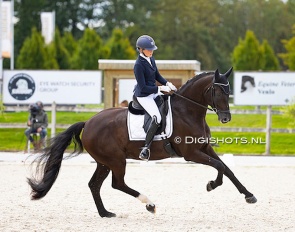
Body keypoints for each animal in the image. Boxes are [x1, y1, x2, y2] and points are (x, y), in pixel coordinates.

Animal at [28, 67, 260, 218]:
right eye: (218, 91)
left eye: (229, 91)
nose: (226, 118)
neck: (188, 111)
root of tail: (89, 122)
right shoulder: (191, 154)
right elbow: (219, 166)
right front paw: (213, 185)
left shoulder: (205, 148)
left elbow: (226, 168)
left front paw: (247, 195)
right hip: (116, 160)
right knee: (117, 184)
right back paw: (149, 204)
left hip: (104, 162)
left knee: (95, 184)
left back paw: (105, 213)